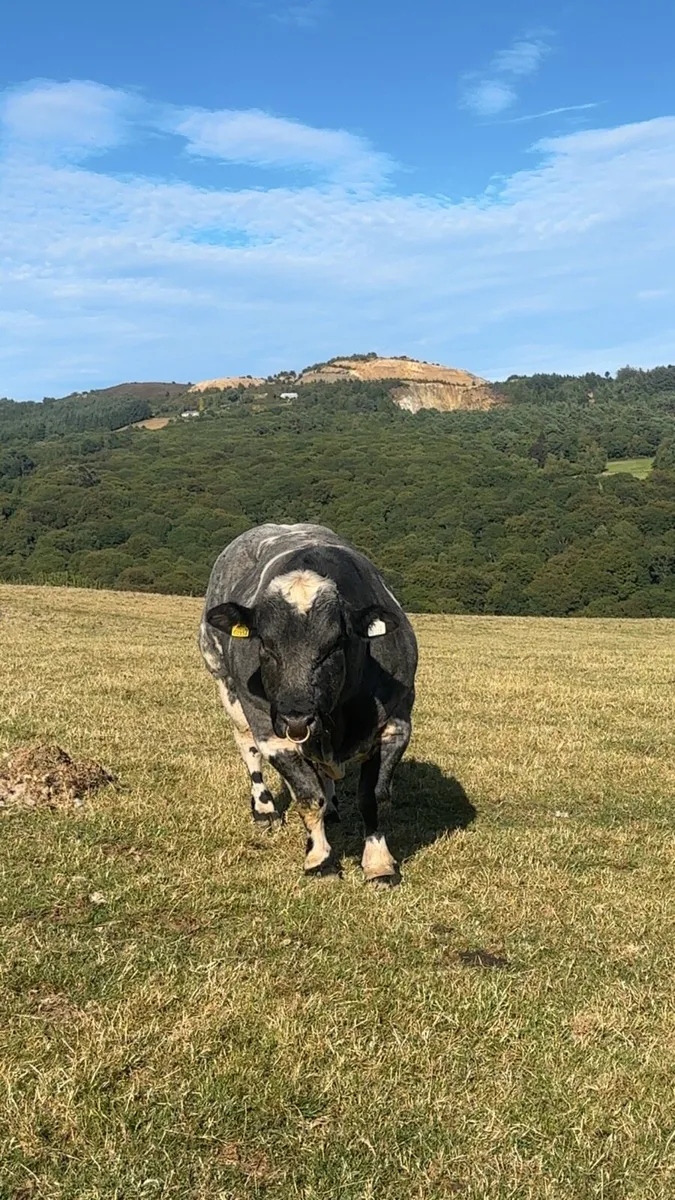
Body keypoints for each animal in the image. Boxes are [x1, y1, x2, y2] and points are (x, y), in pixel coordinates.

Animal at [199, 523, 418, 885]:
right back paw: (264, 809)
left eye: (335, 644)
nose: (297, 719)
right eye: (266, 644)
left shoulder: (396, 724)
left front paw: (378, 862)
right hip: (225, 685)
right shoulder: (270, 731)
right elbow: (306, 796)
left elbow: (372, 796)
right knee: (248, 748)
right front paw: (320, 859)